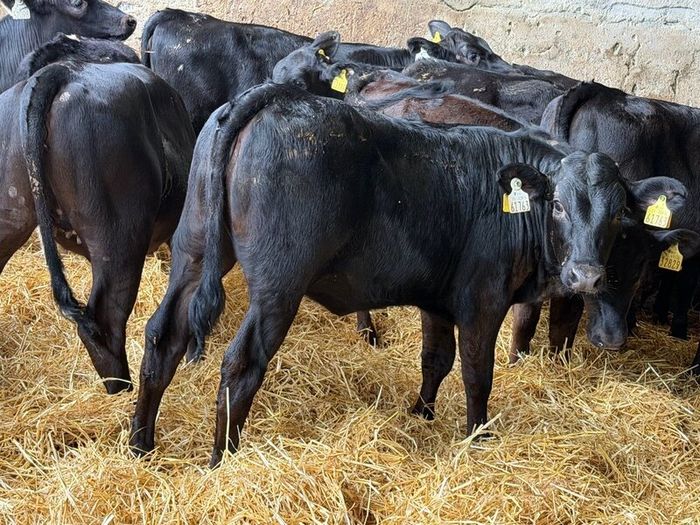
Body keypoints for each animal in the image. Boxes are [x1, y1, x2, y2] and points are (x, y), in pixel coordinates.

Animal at [128, 81, 682, 466]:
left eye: (616, 213)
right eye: (560, 206)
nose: (586, 276)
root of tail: (271, 96)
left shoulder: (437, 301)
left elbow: (435, 361)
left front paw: (422, 414)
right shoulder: (482, 301)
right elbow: (477, 373)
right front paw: (478, 436)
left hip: (194, 252)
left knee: (163, 336)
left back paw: (141, 444)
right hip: (278, 286)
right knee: (241, 364)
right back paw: (222, 459)